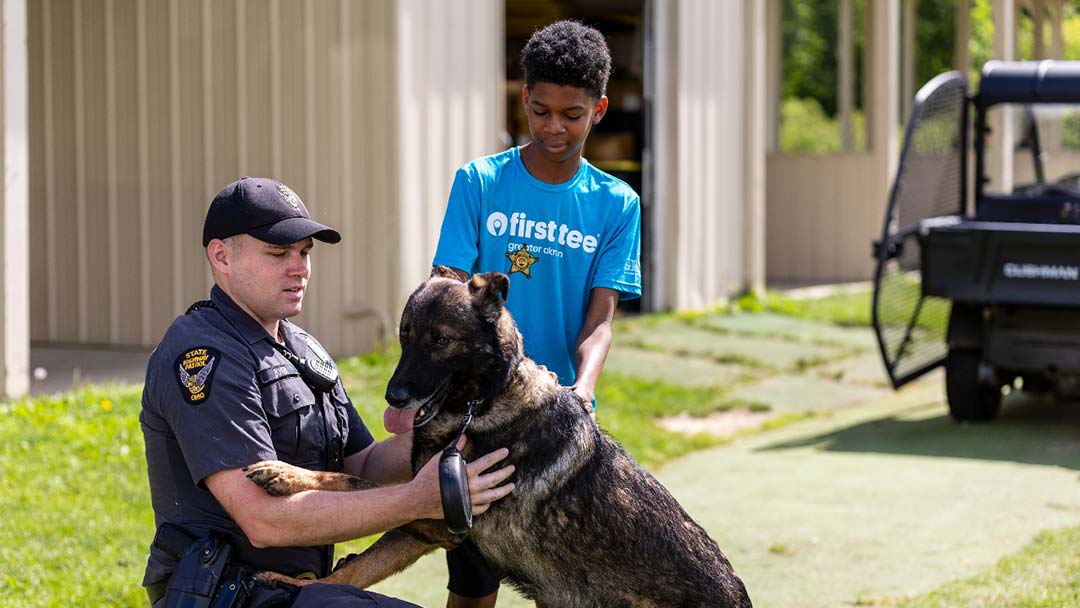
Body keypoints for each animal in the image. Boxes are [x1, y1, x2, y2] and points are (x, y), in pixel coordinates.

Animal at [245, 269, 751, 608]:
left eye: (441, 340)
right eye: (405, 335)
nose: (394, 396)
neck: (483, 402)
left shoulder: (434, 517)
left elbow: (348, 482)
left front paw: (286, 475)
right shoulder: (423, 522)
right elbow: (353, 572)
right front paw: (296, 585)